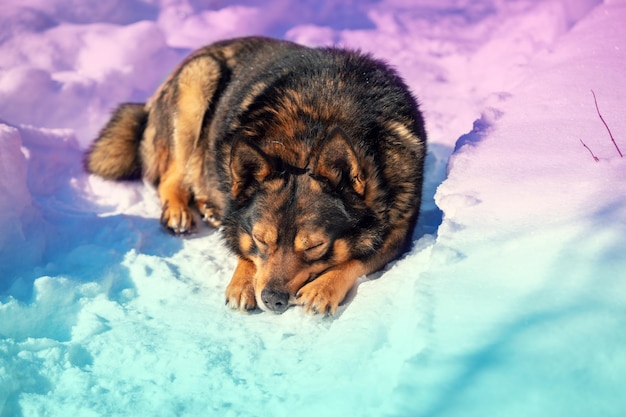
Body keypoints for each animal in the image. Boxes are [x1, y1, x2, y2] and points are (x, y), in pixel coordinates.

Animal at [84, 36, 424, 316]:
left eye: (314, 246)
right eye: (262, 239)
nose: (273, 299)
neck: (314, 131)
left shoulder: (398, 233)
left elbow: (358, 258)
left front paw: (322, 288)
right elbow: (241, 241)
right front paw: (243, 281)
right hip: (198, 82)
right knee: (171, 177)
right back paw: (180, 211)